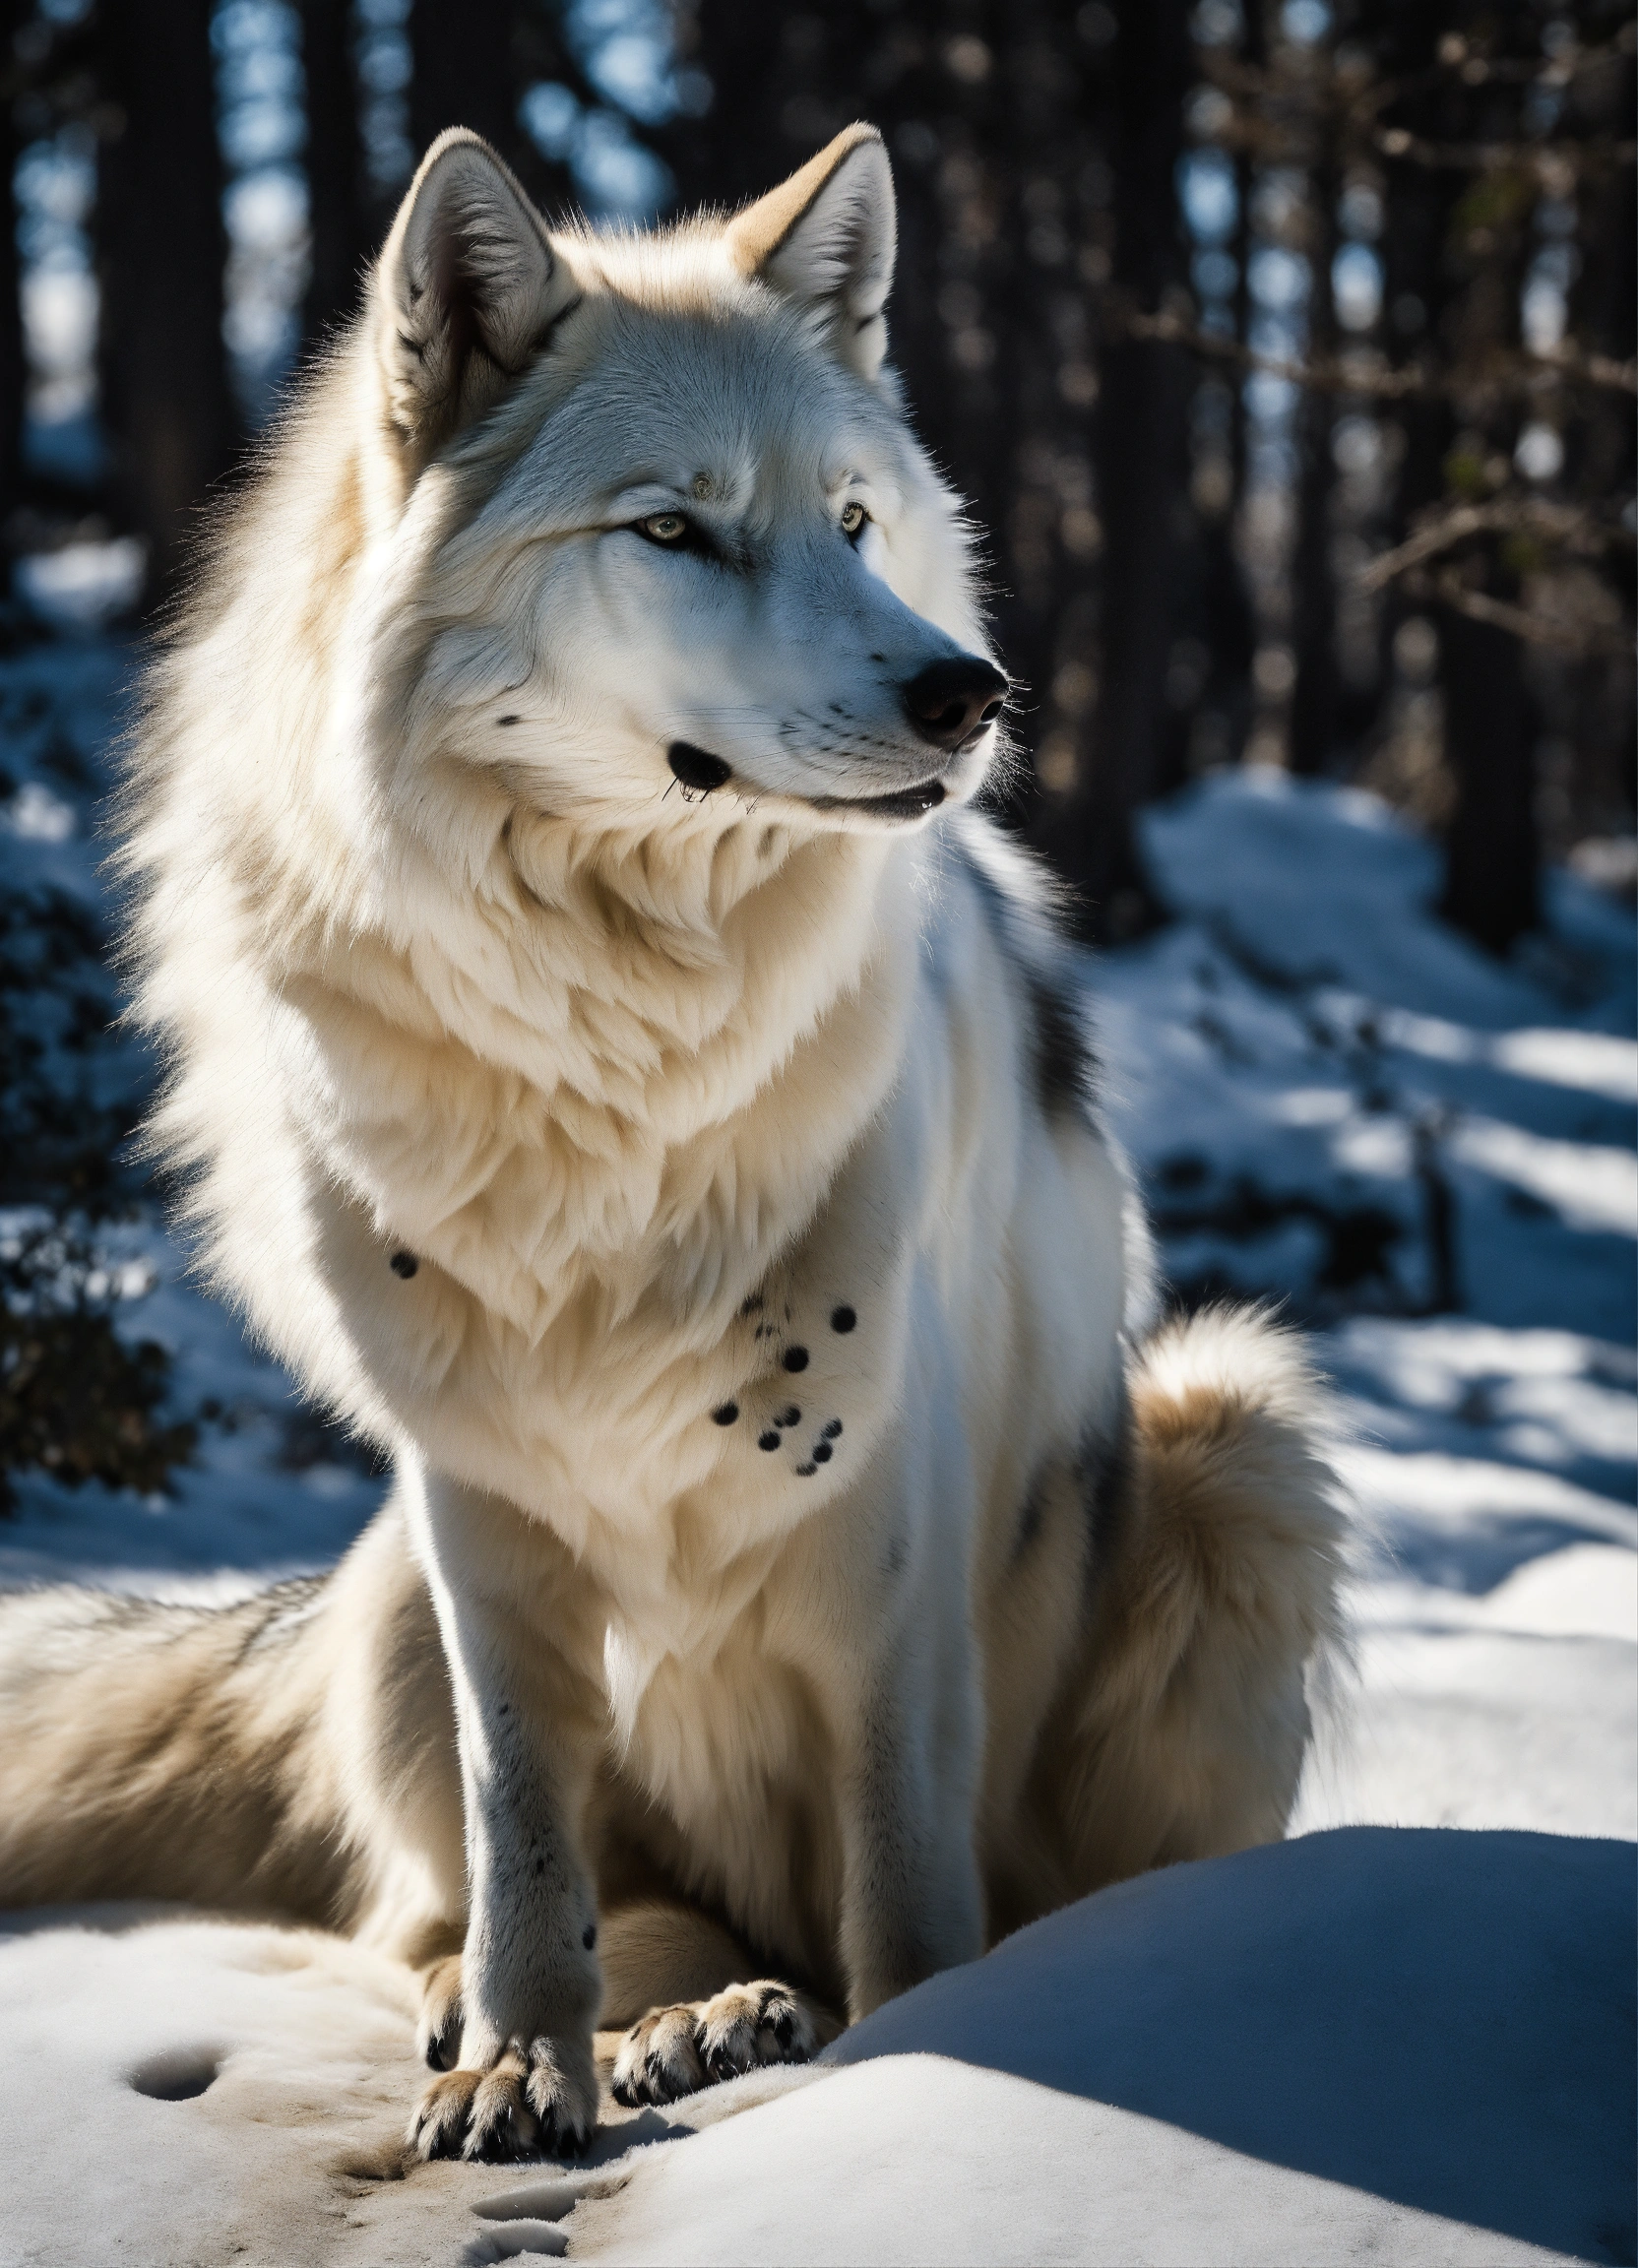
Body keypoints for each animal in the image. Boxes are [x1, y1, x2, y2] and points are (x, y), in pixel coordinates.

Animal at [0, 125, 1346, 2161]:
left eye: (851, 523)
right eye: (671, 531)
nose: (966, 691)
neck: (607, 1038)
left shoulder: (884, 1513)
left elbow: (903, 1869)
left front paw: (911, 2057)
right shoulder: (475, 1500)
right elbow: (524, 1845)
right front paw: (521, 2069)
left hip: (1228, 1433)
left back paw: (770, 2014)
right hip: (393, 1586)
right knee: (472, 1911)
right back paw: (649, 2020)